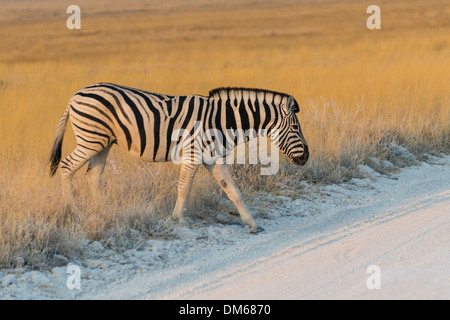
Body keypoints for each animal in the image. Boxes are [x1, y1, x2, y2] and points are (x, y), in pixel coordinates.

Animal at [49, 82, 310, 232]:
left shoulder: (214, 158)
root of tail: (75, 95)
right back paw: (75, 211)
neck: (222, 121)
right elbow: (184, 187)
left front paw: (252, 223)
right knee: (66, 167)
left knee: (93, 177)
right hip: (90, 139)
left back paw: (104, 211)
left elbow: (232, 190)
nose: (306, 157)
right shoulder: (193, 154)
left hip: (102, 143)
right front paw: (178, 219)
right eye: (296, 128)